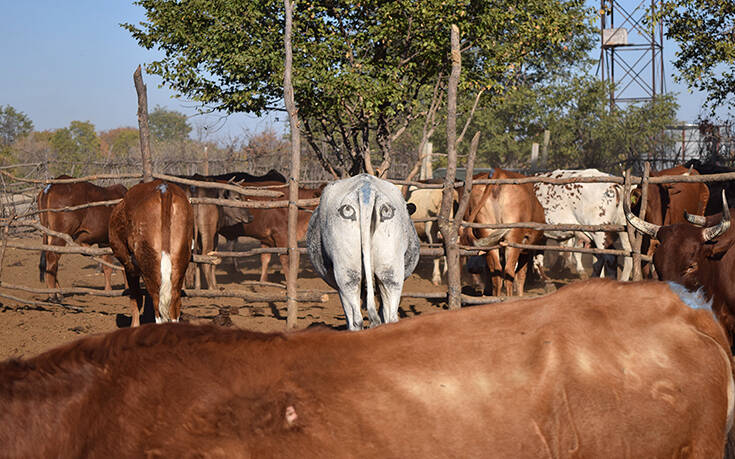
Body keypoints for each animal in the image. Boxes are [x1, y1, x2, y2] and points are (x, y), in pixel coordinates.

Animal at [108, 180, 196, 328]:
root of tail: (164, 189)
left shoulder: (129, 266)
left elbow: (135, 298)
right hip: (180, 261)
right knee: (174, 304)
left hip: (148, 264)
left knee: (157, 306)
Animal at [466, 169, 548, 298]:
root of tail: (499, 172)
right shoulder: (525, 249)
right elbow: (521, 275)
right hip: (513, 238)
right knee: (509, 272)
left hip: (488, 235)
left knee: (496, 272)